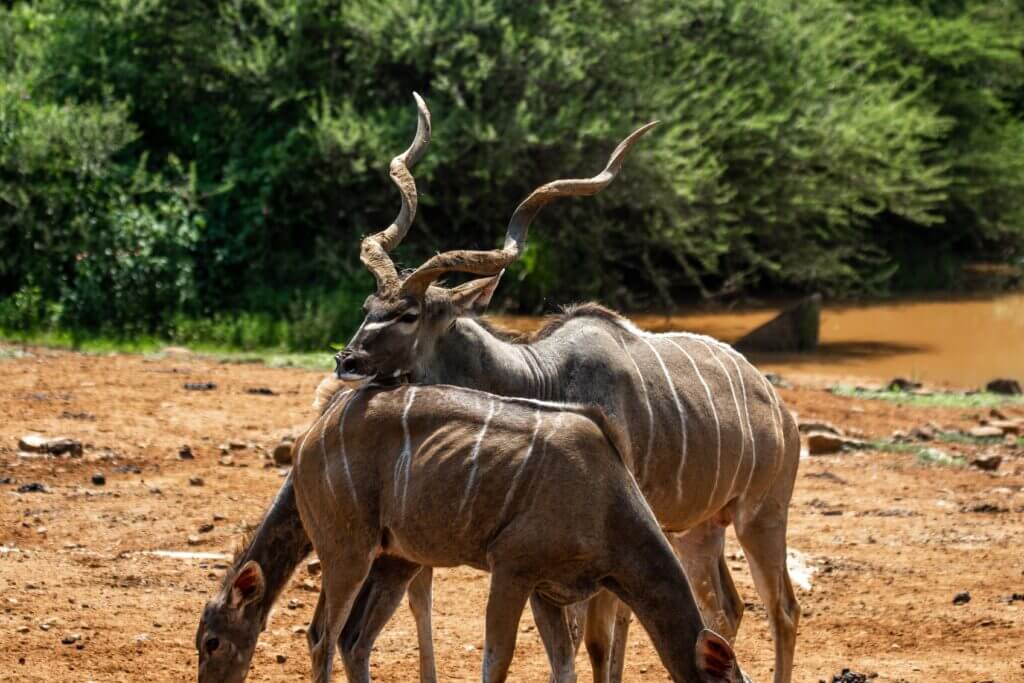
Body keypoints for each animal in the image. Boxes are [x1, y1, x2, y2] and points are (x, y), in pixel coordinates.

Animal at [295, 383, 751, 683]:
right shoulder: (512, 567)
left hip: (396, 559)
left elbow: (564, 664)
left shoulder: (547, 589)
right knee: (321, 637)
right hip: (347, 552)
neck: (607, 500)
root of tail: (311, 435)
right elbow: (498, 660)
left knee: (354, 639)